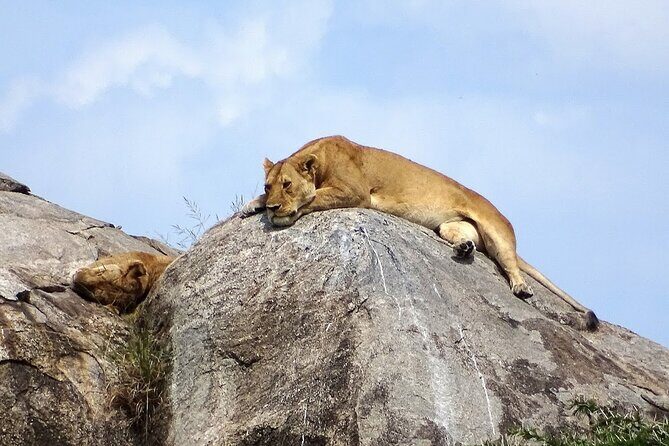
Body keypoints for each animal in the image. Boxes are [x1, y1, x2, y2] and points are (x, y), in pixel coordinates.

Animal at [241, 135, 598, 330]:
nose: (273, 206)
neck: (319, 158)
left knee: (509, 261)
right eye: (269, 185)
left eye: (287, 185)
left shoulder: (355, 191)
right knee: (465, 239)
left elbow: (315, 198)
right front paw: (251, 206)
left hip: (495, 227)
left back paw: (521, 287)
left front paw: (283, 211)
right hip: (451, 224)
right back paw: (464, 249)